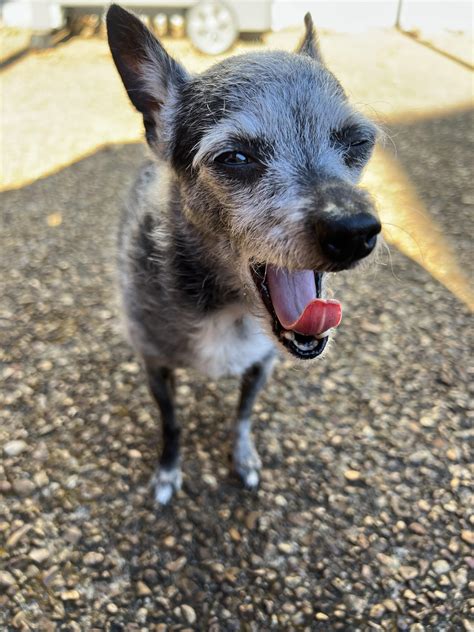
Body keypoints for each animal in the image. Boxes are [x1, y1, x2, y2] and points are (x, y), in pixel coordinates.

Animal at [106, 3, 382, 504]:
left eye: (357, 143)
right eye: (235, 158)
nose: (354, 230)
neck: (229, 306)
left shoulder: (261, 366)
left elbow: (242, 416)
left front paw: (243, 456)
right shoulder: (155, 367)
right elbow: (171, 425)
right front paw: (168, 470)